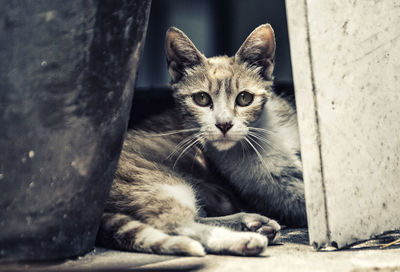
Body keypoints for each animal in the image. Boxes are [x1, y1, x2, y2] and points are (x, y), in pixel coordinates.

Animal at [96, 23, 304, 258]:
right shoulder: (281, 193)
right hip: (160, 182)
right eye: (201, 99)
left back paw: (252, 222)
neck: (267, 131)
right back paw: (245, 238)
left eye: (244, 98)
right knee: (176, 224)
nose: (224, 124)